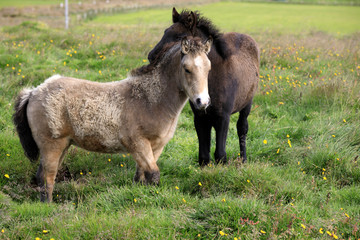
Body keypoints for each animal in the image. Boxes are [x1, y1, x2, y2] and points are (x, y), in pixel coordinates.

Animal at [148, 7, 260, 165]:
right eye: (165, 32)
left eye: (179, 37)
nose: (151, 56)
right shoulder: (199, 116)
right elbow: (204, 156)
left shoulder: (223, 117)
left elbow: (220, 155)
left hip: (247, 104)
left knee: (242, 128)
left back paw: (243, 159)